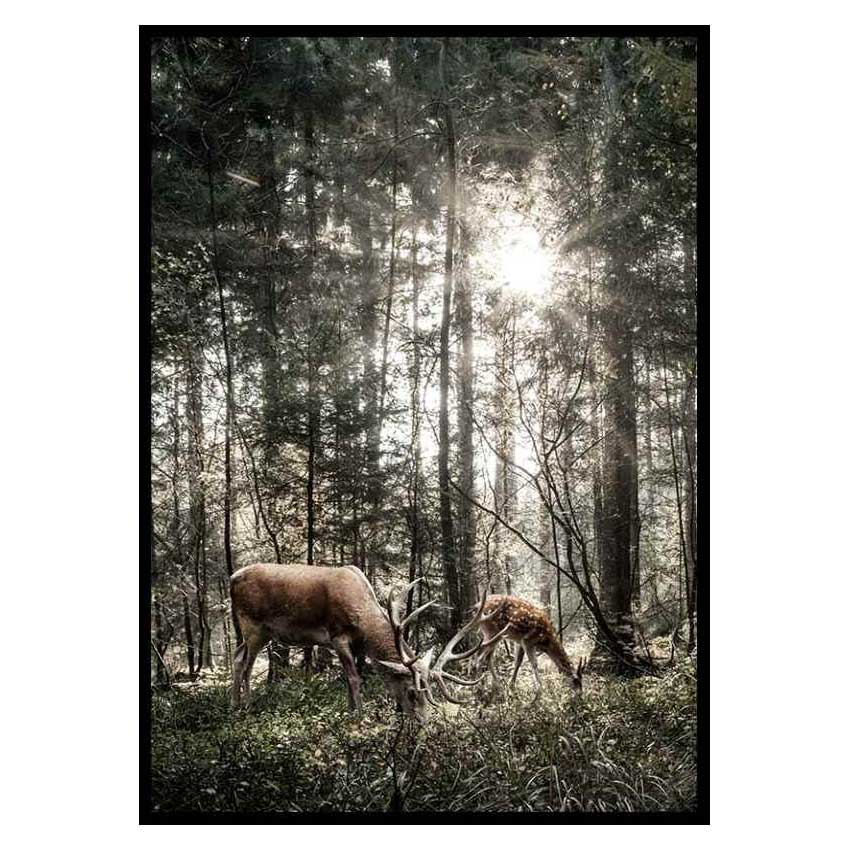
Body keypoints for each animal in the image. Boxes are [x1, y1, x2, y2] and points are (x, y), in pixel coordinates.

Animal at [229, 563, 507, 720]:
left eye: (429, 694)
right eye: (411, 692)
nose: (423, 723)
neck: (363, 622)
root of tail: (232, 578)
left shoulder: (356, 645)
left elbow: (350, 677)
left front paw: (350, 710)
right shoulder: (337, 635)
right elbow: (354, 678)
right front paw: (359, 716)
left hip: (259, 632)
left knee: (237, 656)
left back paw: (234, 704)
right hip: (252, 624)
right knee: (247, 663)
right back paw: (247, 706)